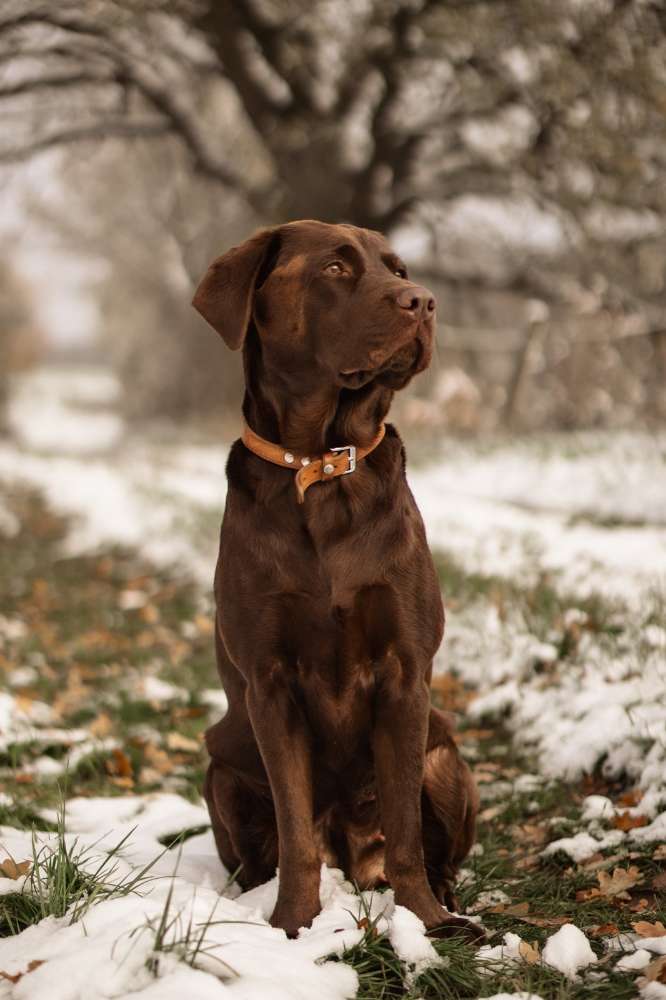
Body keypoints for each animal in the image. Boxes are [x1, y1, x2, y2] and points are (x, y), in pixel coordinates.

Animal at [191, 219, 478, 936]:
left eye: (398, 268)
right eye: (335, 268)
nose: (423, 301)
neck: (321, 466)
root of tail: (352, 856)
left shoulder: (406, 673)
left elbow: (405, 830)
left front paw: (424, 922)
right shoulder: (270, 683)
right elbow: (295, 832)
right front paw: (292, 925)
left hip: (446, 754)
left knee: (432, 838)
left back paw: (450, 900)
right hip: (222, 764)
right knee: (259, 853)